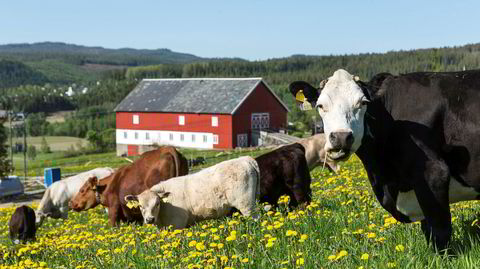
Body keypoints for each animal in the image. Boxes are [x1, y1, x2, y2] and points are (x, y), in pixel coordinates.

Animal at [124, 155, 258, 228]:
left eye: (157, 203)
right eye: (140, 206)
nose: (150, 219)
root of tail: (245, 159)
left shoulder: (177, 224)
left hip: (246, 204)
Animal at [288, 68, 480, 251]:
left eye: (363, 103)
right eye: (320, 106)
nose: (341, 137)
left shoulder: (433, 172)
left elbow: (439, 231)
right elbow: (428, 230)